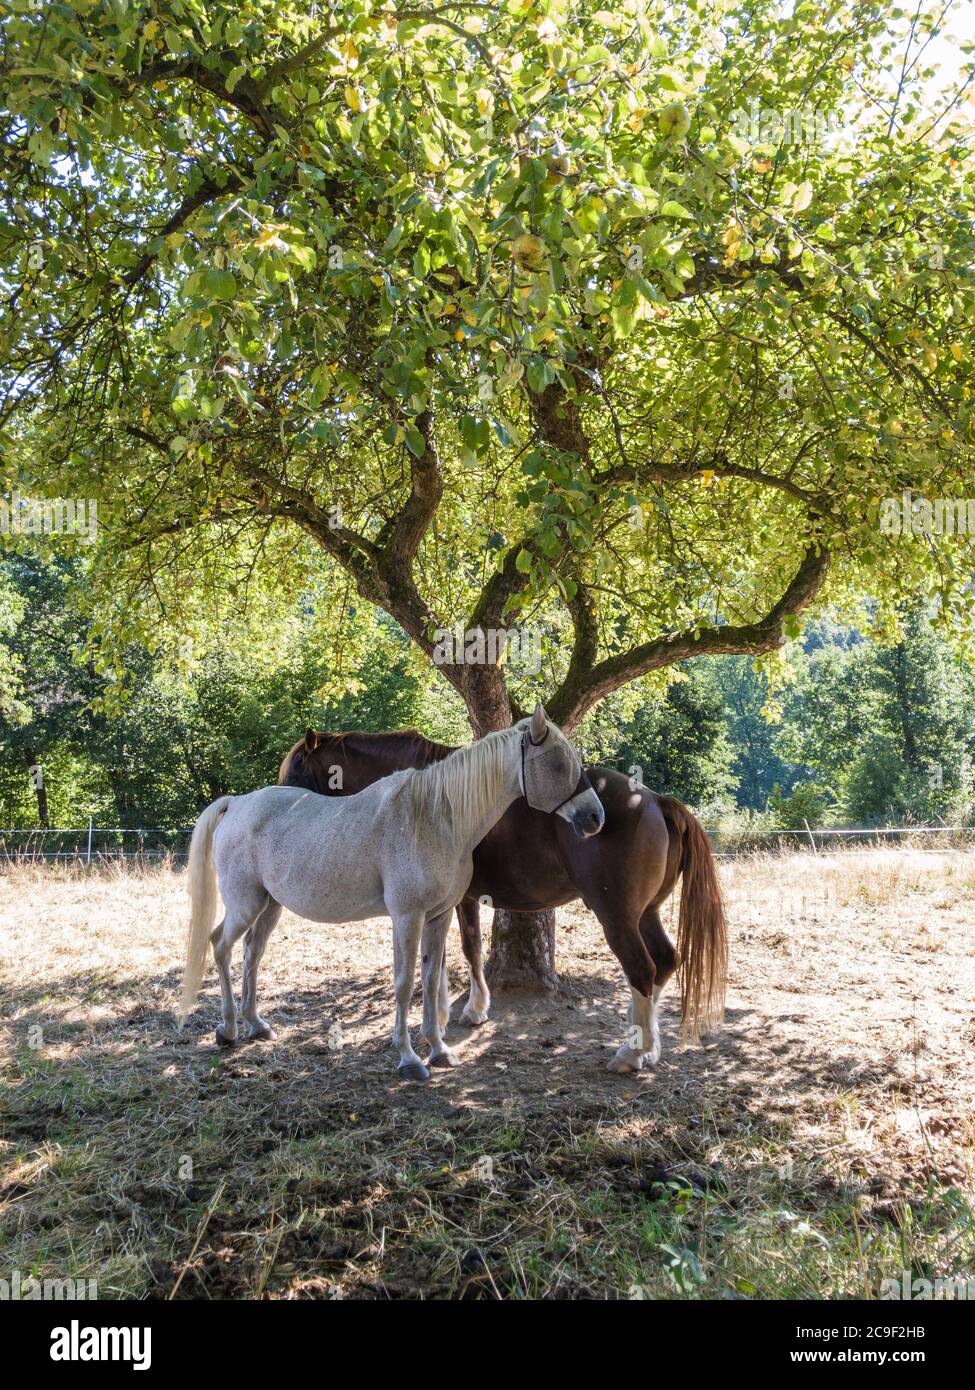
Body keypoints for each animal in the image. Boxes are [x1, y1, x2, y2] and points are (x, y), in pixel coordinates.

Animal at [176, 700, 600, 1078]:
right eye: (559, 763)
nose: (596, 817)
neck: (435, 816)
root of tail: (237, 804)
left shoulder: (438, 916)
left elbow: (432, 978)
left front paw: (439, 1049)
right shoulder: (408, 917)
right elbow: (406, 981)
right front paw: (409, 1058)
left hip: (270, 907)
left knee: (252, 954)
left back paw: (257, 1025)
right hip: (245, 905)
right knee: (220, 946)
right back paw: (228, 1029)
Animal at [278, 728, 728, 1073]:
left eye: (298, 767)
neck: (434, 799)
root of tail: (655, 801)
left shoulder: (458, 899)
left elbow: (465, 949)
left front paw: (466, 1011)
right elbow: (444, 956)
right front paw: (447, 1014)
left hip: (617, 917)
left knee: (642, 969)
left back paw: (630, 1054)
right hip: (645, 914)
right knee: (665, 962)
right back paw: (647, 1046)